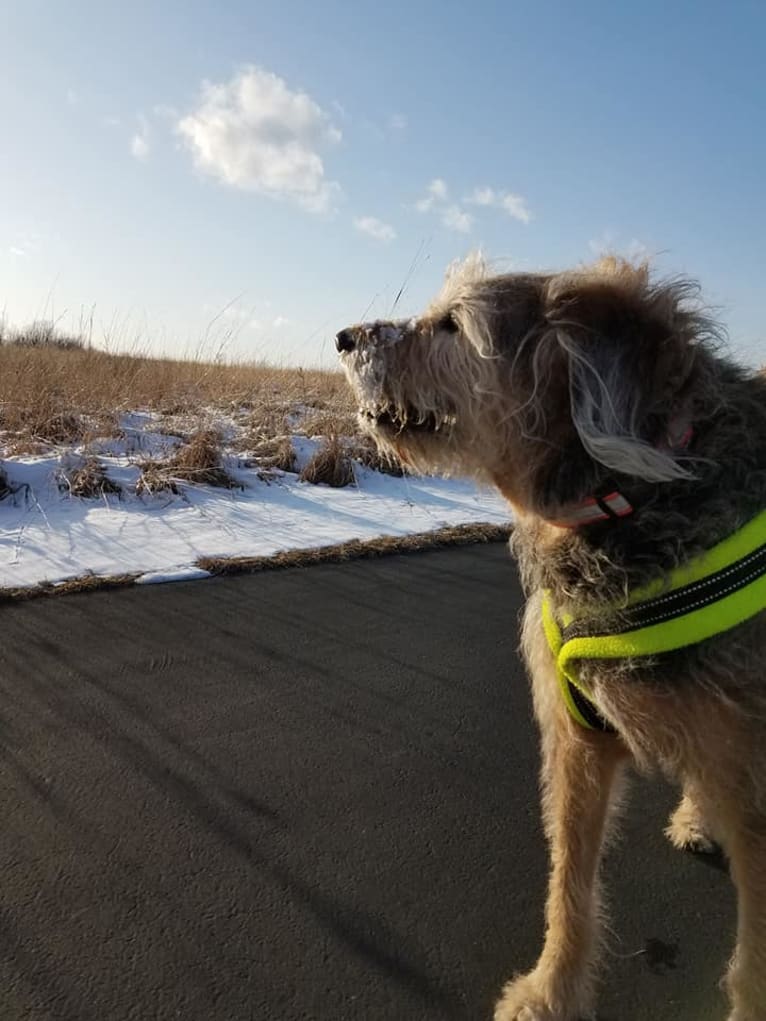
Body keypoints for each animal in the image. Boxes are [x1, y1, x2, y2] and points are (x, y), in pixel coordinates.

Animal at [334, 253, 766, 1021]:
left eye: (453, 324)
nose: (345, 337)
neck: (629, 501)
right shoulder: (577, 740)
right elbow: (568, 884)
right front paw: (549, 993)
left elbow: (754, 961)